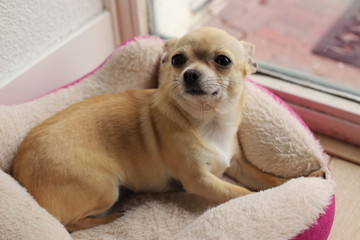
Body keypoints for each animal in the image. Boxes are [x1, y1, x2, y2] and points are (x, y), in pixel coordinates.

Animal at [14, 27, 306, 232]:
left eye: (223, 60)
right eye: (177, 60)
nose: (190, 74)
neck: (209, 122)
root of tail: (19, 173)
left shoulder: (237, 165)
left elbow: (266, 179)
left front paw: (296, 182)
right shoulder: (199, 180)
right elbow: (239, 193)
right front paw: (259, 200)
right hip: (104, 188)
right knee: (68, 223)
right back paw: (110, 217)